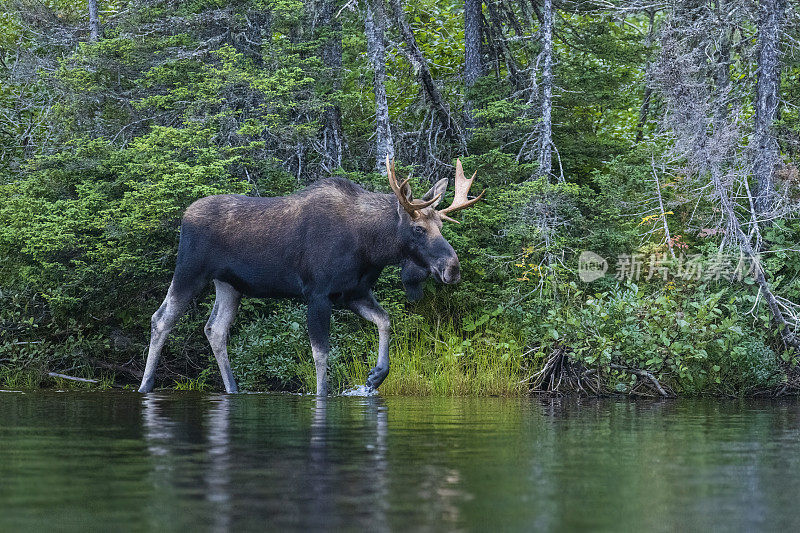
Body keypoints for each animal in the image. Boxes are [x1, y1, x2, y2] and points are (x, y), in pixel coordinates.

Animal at [138, 156, 484, 392]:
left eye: (441, 227)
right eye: (418, 228)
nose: (452, 268)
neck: (372, 247)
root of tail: (185, 214)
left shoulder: (352, 292)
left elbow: (385, 320)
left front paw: (376, 375)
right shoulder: (318, 293)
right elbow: (321, 352)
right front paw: (323, 394)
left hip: (230, 285)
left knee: (215, 329)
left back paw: (233, 388)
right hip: (189, 270)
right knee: (161, 318)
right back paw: (145, 385)